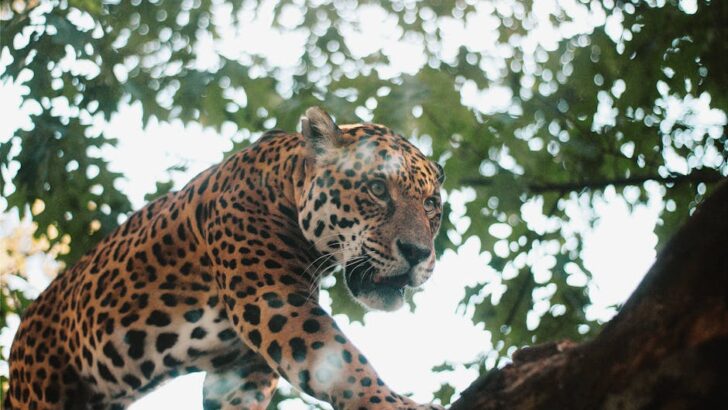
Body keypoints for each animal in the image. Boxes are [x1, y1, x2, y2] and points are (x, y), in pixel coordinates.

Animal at [6, 107, 445, 410]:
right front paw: (392, 404)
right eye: (376, 188)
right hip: (43, 387)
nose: (418, 253)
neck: (285, 185)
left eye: (431, 204)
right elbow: (344, 362)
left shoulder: (243, 369)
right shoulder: (273, 301)